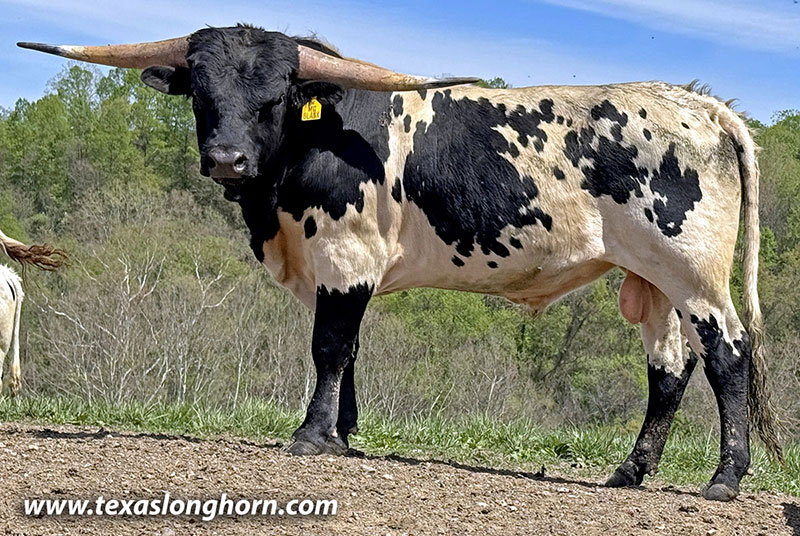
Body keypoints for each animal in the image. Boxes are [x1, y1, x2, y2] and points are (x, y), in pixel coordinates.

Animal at [19, 24, 782, 501]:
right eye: (202, 91)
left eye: (276, 94)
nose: (227, 160)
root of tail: (703, 104)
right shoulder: (333, 269)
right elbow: (349, 349)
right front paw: (344, 435)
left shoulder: (344, 255)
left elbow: (329, 347)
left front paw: (312, 436)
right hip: (650, 280)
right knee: (668, 370)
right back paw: (630, 472)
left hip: (692, 272)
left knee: (727, 355)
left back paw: (725, 478)